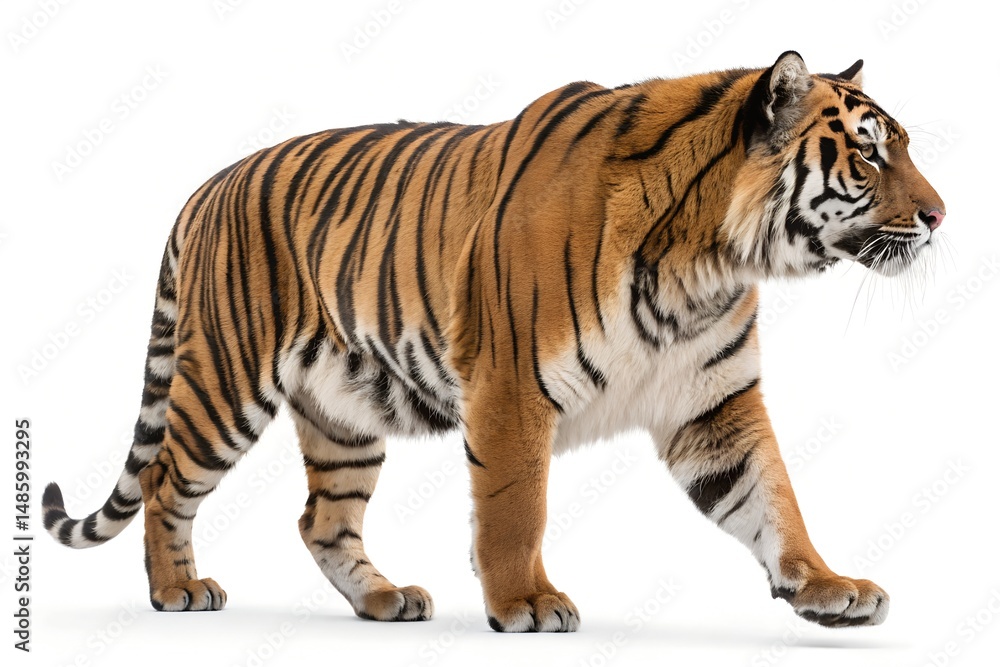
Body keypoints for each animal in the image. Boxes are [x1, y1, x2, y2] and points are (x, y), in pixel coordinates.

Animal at [43, 51, 944, 632]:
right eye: (869, 155)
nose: (941, 215)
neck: (709, 258)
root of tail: (205, 185)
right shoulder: (512, 388)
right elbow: (517, 506)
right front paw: (526, 603)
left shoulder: (712, 403)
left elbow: (773, 498)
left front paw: (828, 586)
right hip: (226, 384)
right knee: (163, 480)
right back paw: (177, 590)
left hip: (345, 413)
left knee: (321, 519)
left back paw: (383, 600)